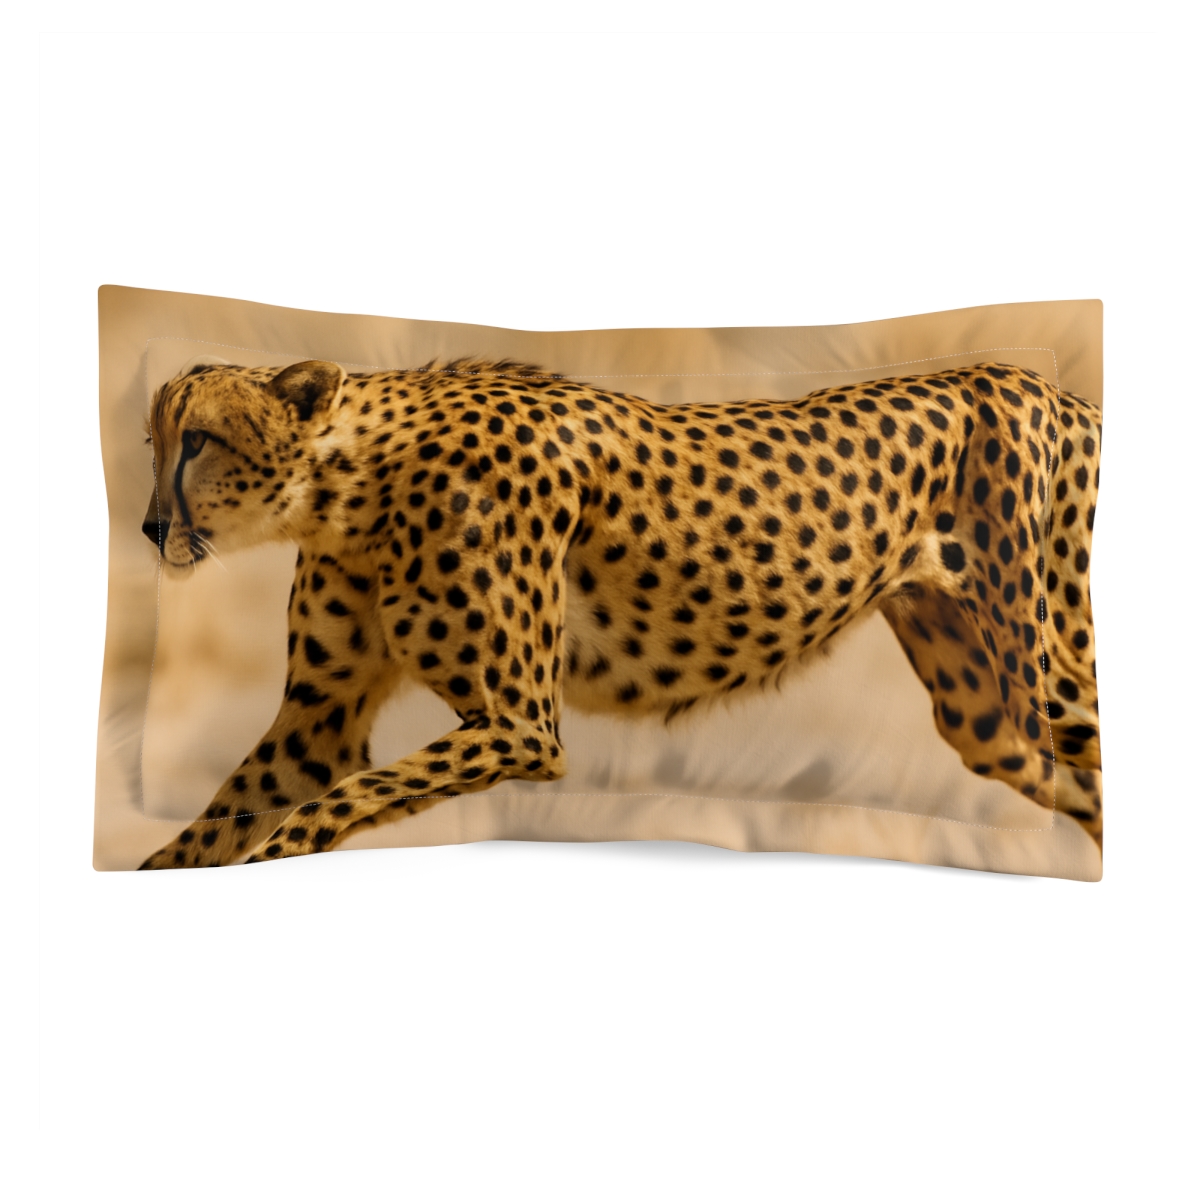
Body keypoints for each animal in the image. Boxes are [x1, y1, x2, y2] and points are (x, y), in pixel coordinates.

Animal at [137, 355, 1102, 869]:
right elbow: (211, 829)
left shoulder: (520, 726)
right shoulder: (318, 723)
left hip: (1047, 674)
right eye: (153, 445)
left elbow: (320, 812)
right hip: (986, 715)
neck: (348, 487)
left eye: (199, 441)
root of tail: (1042, 381)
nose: (148, 529)